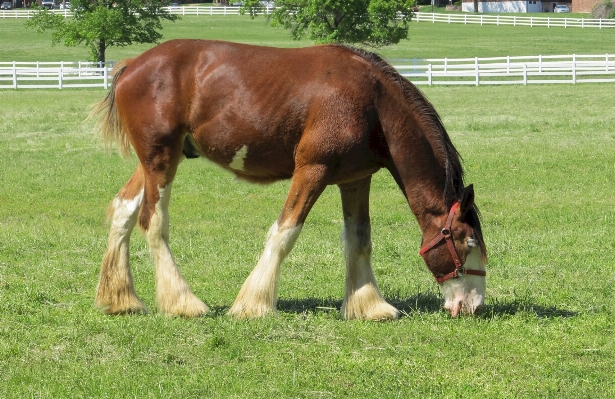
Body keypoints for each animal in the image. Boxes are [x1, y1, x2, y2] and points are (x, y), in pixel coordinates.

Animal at [92, 39, 486, 322]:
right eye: (467, 243)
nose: (474, 305)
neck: (372, 103)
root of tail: (132, 66)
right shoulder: (312, 171)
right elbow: (285, 232)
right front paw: (253, 305)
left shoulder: (355, 180)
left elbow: (359, 240)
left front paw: (369, 306)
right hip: (161, 161)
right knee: (153, 222)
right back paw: (183, 303)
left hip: (153, 162)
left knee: (123, 210)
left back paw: (121, 299)